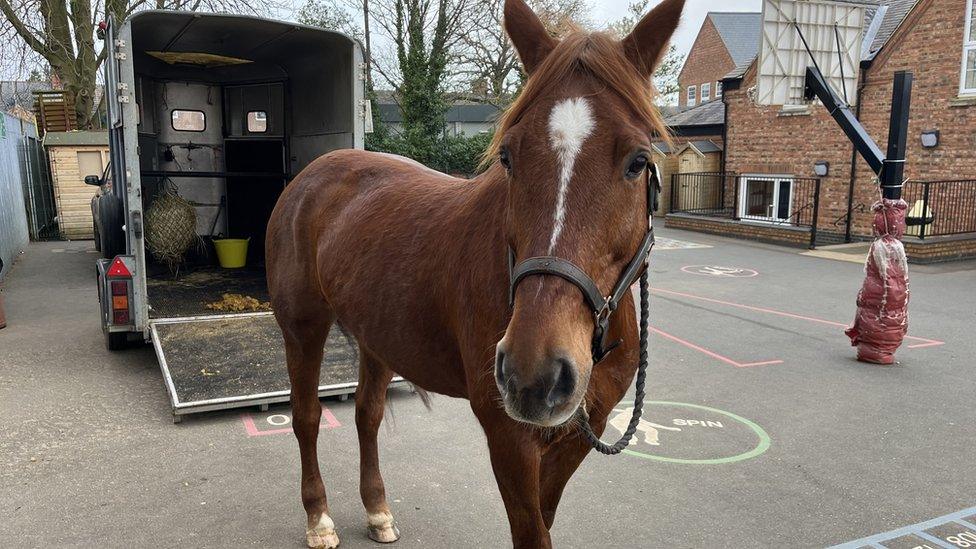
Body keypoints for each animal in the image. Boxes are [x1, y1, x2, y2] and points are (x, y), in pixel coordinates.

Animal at [264, 0, 684, 544]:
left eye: (637, 161)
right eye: (508, 155)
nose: (534, 375)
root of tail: (312, 175)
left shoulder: (574, 439)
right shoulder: (509, 438)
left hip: (377, 338)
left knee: (367, 415)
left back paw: (377, 510)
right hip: (303, 329)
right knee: (308, 417)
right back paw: (318, 518)